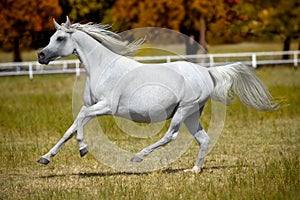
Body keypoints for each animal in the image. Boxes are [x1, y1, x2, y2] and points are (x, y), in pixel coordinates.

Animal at [37, 18, 278, 173]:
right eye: (51, 37)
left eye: (60, 38)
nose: (41, 56)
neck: (104, 68)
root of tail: (207, 72)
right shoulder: (91, 106)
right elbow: (71, 128)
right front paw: (45, 158)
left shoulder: (106, 107)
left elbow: (79, 121)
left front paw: (83, 149)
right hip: (192, 114)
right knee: (204, 139)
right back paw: (194, 170)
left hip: (183, 110)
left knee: (171, 135)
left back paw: (138, 156)